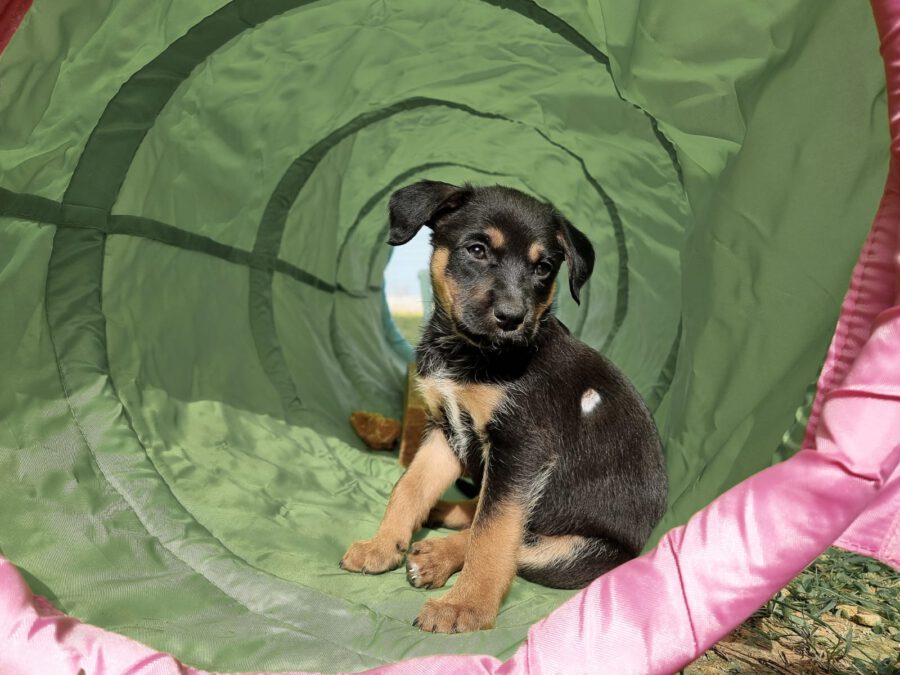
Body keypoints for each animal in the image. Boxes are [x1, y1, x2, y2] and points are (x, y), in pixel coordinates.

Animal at [340, 181, 668, 634]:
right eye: (477, 250)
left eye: (544, 267)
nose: (512, 318)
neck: (469, 355)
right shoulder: (447, 428)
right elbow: (409, 486)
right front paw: (382, 546)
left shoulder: (521, 448)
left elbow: (493, 534)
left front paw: (466, 607)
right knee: (483, 509)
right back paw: (444, 514)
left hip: (574, 552)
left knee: (516, 543)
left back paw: (437, 556)